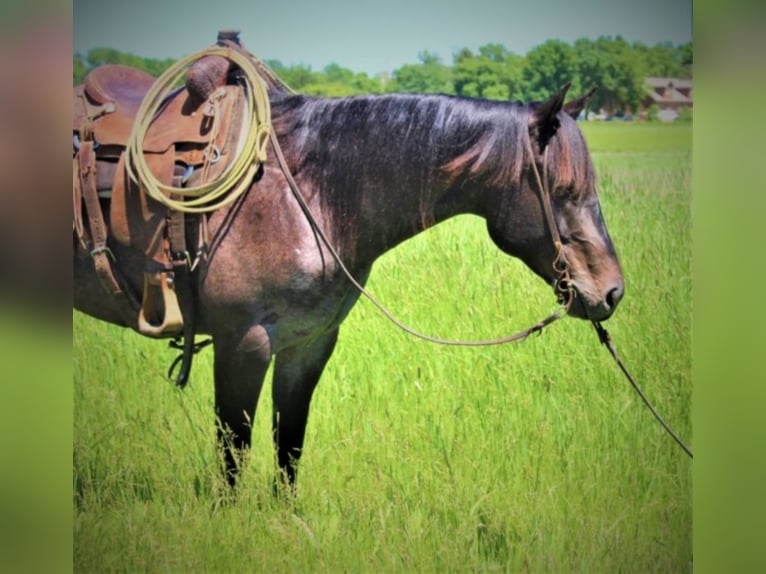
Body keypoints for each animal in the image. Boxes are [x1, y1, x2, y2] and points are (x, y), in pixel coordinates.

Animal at [70, 66, 624, 490]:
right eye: (564, 189)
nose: (612, 291)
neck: (307, 195)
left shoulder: (309, 344)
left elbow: (288, 445)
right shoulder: (241, 344)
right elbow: (234, 452)